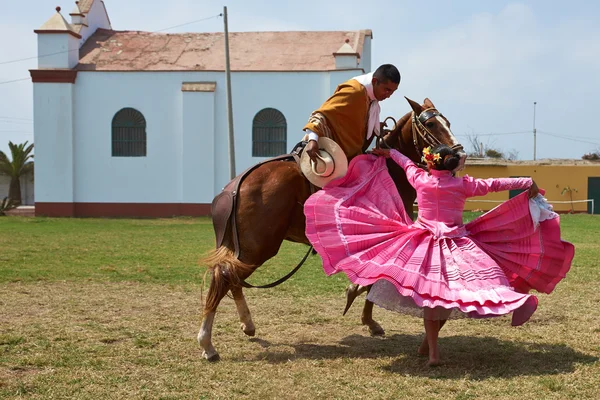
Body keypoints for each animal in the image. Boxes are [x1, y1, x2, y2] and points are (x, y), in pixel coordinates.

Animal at [199, 96, 466, 360]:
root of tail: (235, 186)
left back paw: (247, 325)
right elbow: (373, 279)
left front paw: (366, 315)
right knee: (224, 277)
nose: (460, 155)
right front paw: (361, 306)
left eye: (449, 122)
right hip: (259, 248)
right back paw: (207, 344)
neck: (391, 173)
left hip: (242, 248)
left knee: (228, 277)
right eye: (431, 125)